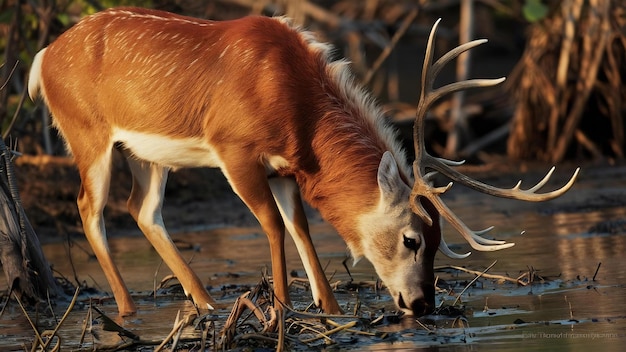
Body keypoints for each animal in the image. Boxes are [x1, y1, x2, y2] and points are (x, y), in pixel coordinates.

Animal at [28, 6, 576, 318]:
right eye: (412, 239)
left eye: (440, 241)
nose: (422, 303)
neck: (295, 103)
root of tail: (41, 58)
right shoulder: (233, 147)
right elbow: (272, 225)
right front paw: (284, 309)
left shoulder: (288, 167)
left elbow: (302, 228)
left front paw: (327, 309)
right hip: (87, 132)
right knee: (89, 207)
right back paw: (126, 310)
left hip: (145, 152)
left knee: (142, 209)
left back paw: (205, 302)